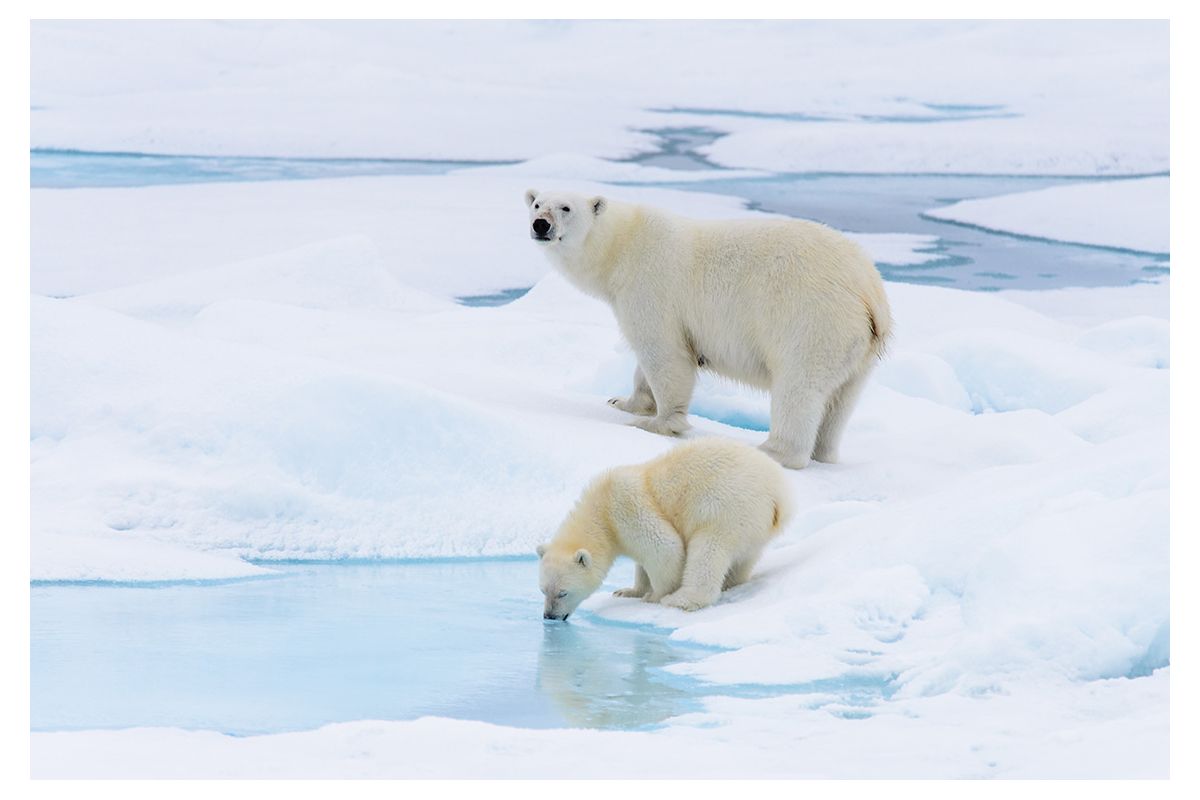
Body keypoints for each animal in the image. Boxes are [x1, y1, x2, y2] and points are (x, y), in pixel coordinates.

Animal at [525, 190, 892, 470]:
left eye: (565, 207)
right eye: (536, 203)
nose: (540, 224)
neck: (624, 245)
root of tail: (869, 291)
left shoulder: (651, 286)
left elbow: (665, 354)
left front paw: (656, 423)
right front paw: (623, 402)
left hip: (812, 321)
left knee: (799, 387)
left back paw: (772, 450)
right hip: (857, 348)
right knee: (840, 401)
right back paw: (824, 452)